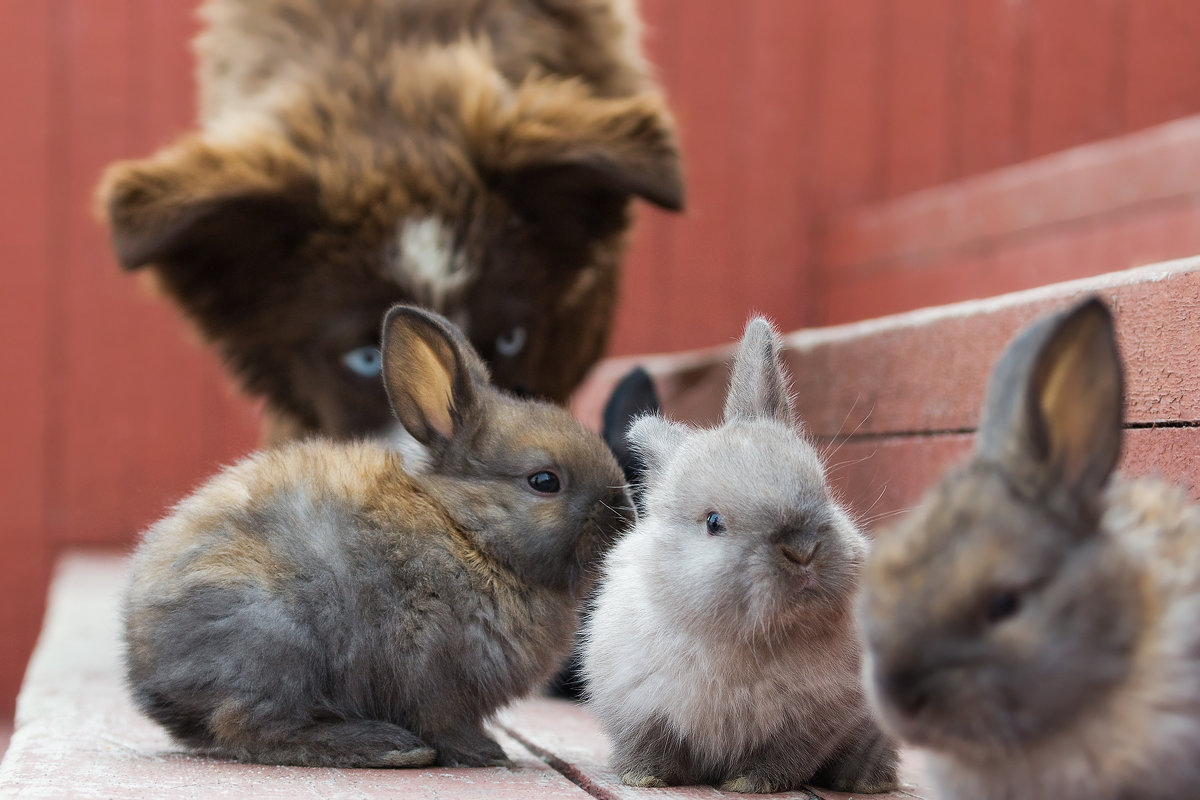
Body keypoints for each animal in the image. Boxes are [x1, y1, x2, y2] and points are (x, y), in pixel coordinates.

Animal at [121, 303, 638, 767]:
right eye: (544, 481)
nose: (625, 518)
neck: (470, 535)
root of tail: (148, 668)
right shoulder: (434, 676)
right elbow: (445, 723)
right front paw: (485, 753)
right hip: (275, 642)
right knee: (252, 727)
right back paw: (386, 747)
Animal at [580, 316, 902, 796]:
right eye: (714, 522)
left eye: (824, 491)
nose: (802, 552)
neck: (748, 640)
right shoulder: (639, 707)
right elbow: (650, 744)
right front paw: (644, 777)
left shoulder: (811, 724)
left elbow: (782, 758)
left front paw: (748, 783)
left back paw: (868, 782)